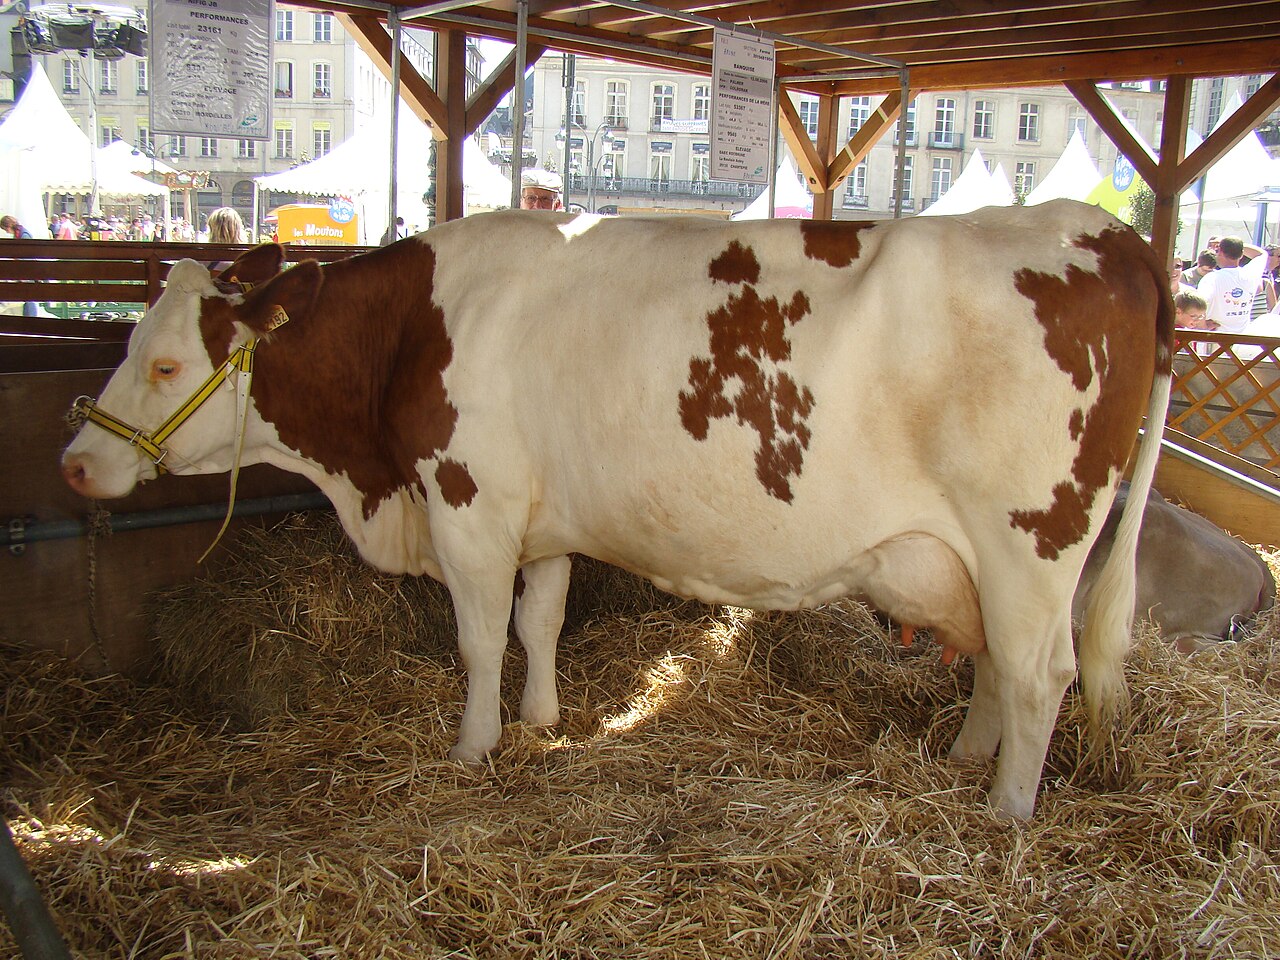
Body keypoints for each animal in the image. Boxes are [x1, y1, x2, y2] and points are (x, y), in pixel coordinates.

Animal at [61, 201, 1173, 819]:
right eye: (125, 343)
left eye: (165, 364)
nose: (74, 465)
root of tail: (1102, 230)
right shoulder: (542, 517)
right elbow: (540, 620)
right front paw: (545, 723)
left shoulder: (469, 504)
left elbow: (478, 639)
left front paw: (473, 748)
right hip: (978, 560)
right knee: (993, 664)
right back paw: (965, 761)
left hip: (1030, 541)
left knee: (1039, 675)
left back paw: (1004, 813)